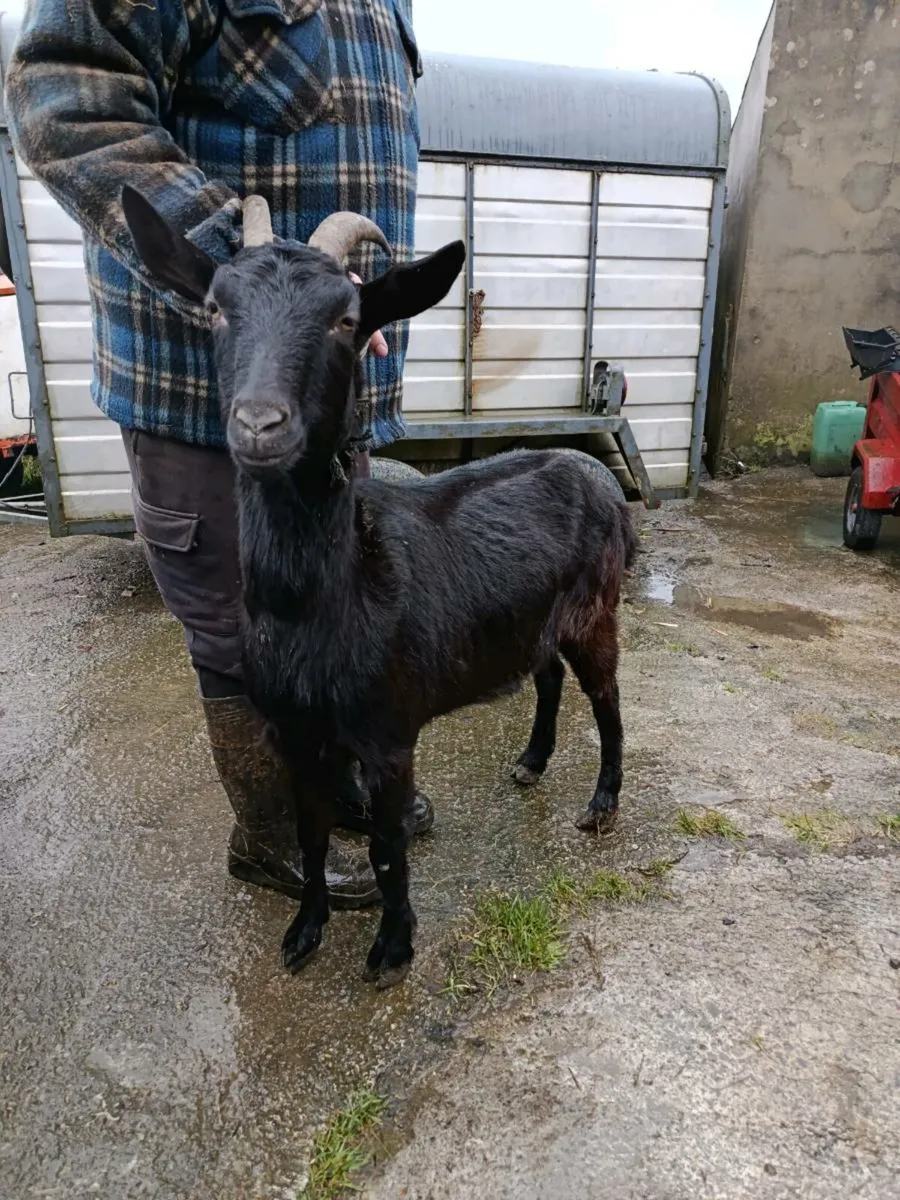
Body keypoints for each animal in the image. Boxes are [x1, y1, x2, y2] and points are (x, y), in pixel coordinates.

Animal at [122, 188, 638, 989]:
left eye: (346, 319)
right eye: (214, 310)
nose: (260, 424)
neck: (324, 600)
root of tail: (596, 476)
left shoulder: (390, 731)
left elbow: (390, 845)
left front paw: (392, 948)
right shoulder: (297, 733)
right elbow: (311, 834)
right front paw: (304, 930)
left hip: (595, 608)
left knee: (607, 697)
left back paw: (602, 803)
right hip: (534, 618)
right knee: (547, 675)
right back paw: (531, 762)